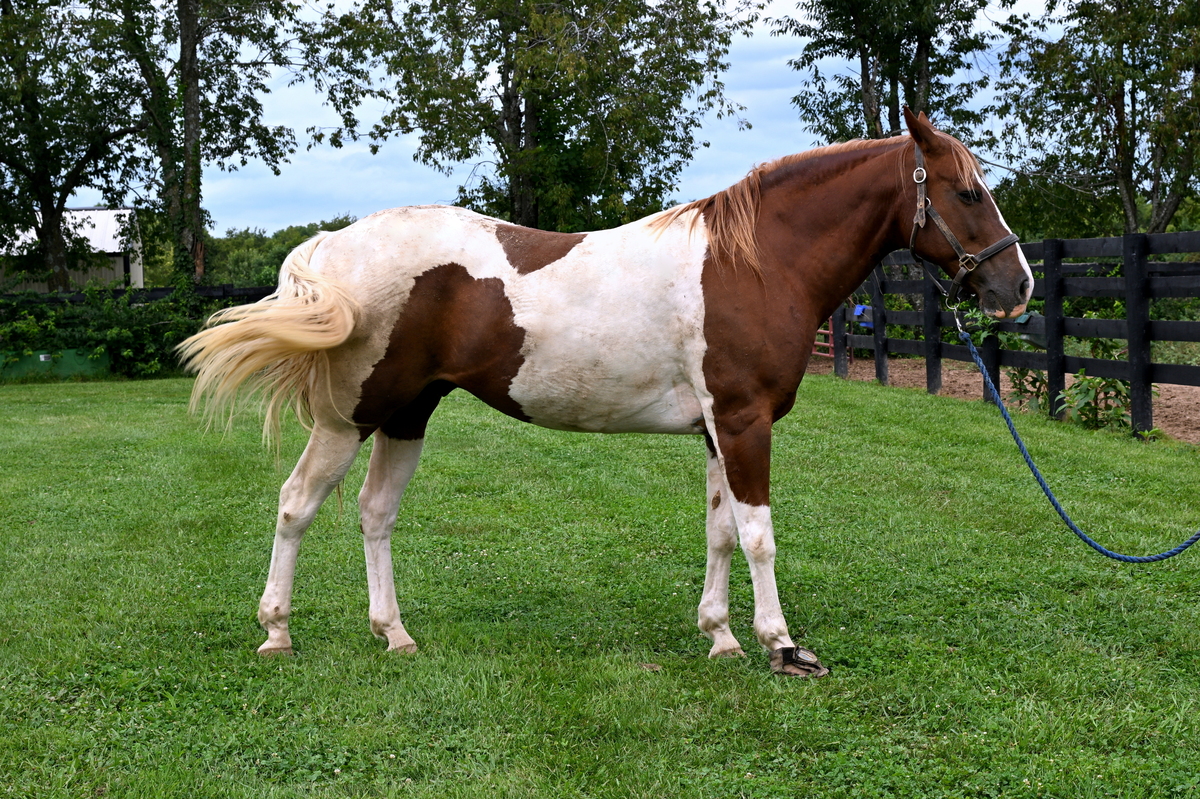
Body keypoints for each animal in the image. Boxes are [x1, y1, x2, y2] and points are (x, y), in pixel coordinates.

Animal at [179, 108, 1032, 677]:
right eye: (966, 192)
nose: (1015, 285)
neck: (753, 263)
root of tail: (332, 243)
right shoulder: (746, 423)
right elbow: (759, 535)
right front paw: (783, 645)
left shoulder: (719, 429)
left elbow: (720, 533)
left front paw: (720, 634)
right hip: (347, 417)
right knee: (296, 504)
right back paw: (276, 630)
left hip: (407, 415)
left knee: (374, 513)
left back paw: (394, 633)